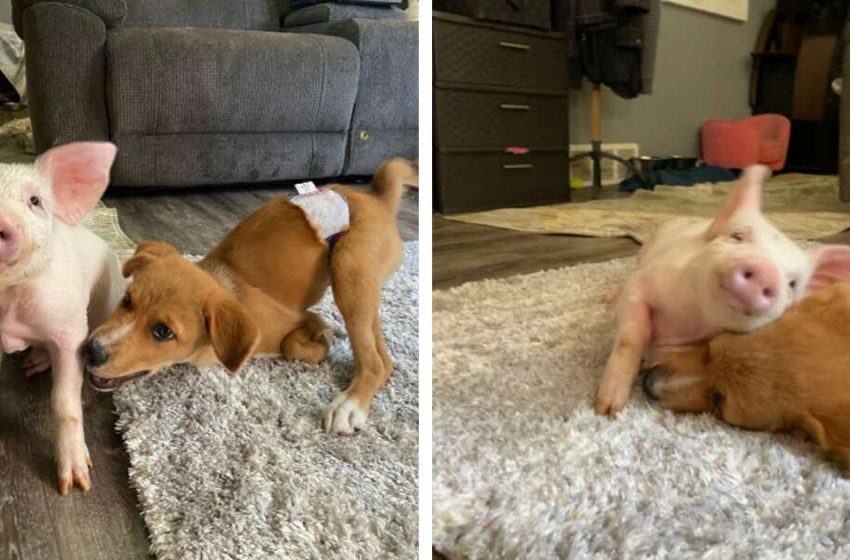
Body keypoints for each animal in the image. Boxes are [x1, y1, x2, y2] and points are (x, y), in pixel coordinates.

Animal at [83, 158, 414, 434]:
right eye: (127, 301)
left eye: (163, 332)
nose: (91, 351)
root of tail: (376, 199)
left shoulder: (293, 320)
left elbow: (293, 342)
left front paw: (322, 339)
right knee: (383, 357)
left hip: (348, 267)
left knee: (373, 361)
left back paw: (349, 405)